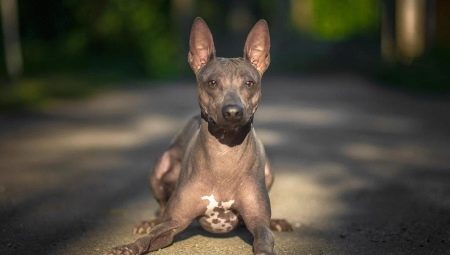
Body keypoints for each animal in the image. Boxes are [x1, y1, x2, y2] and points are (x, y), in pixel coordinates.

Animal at [107, 16, 294, 254]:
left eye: (249, 83)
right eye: (212, 82)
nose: (233, 112)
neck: (224, 155)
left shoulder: (258, 222)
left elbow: (263, 239)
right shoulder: (174, 222)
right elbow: (150, 236)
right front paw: (129, 247)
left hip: (269, 172)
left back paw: (277, 221)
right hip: (160, 166)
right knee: (161, 210)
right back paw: (149, 221)